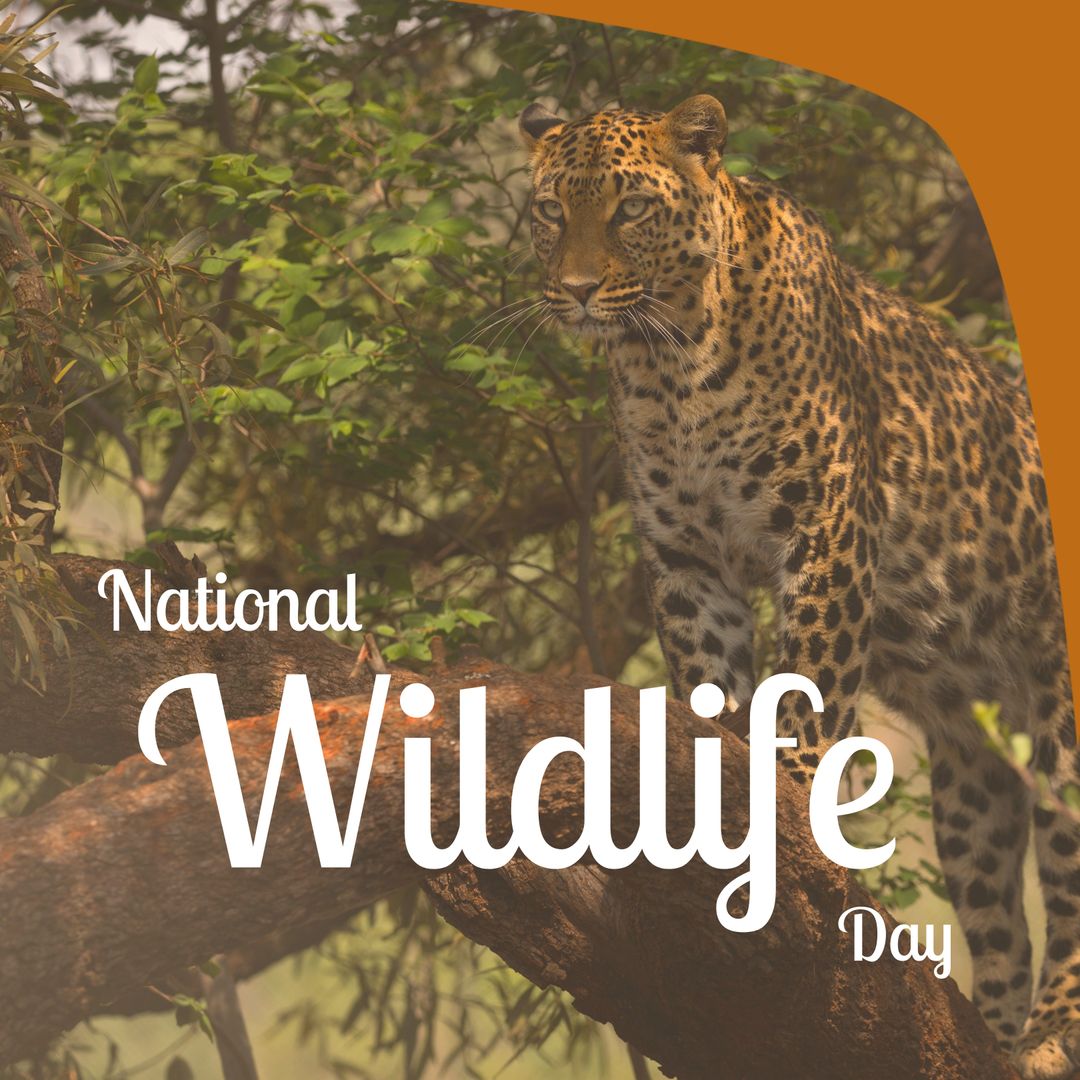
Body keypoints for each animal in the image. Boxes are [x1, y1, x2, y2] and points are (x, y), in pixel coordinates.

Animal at [518, 93, 1079, 1078]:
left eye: (630, 208)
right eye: (552, 209)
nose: (577, 289)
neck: (669, 364)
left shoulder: (826, 529)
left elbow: (810, 690)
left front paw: (789, 810)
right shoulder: (687, 559)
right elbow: (710, 690)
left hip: (1063, 726)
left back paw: (1050, 1029)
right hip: (974, 779)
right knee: (1001, 917)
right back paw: (999, 1035)